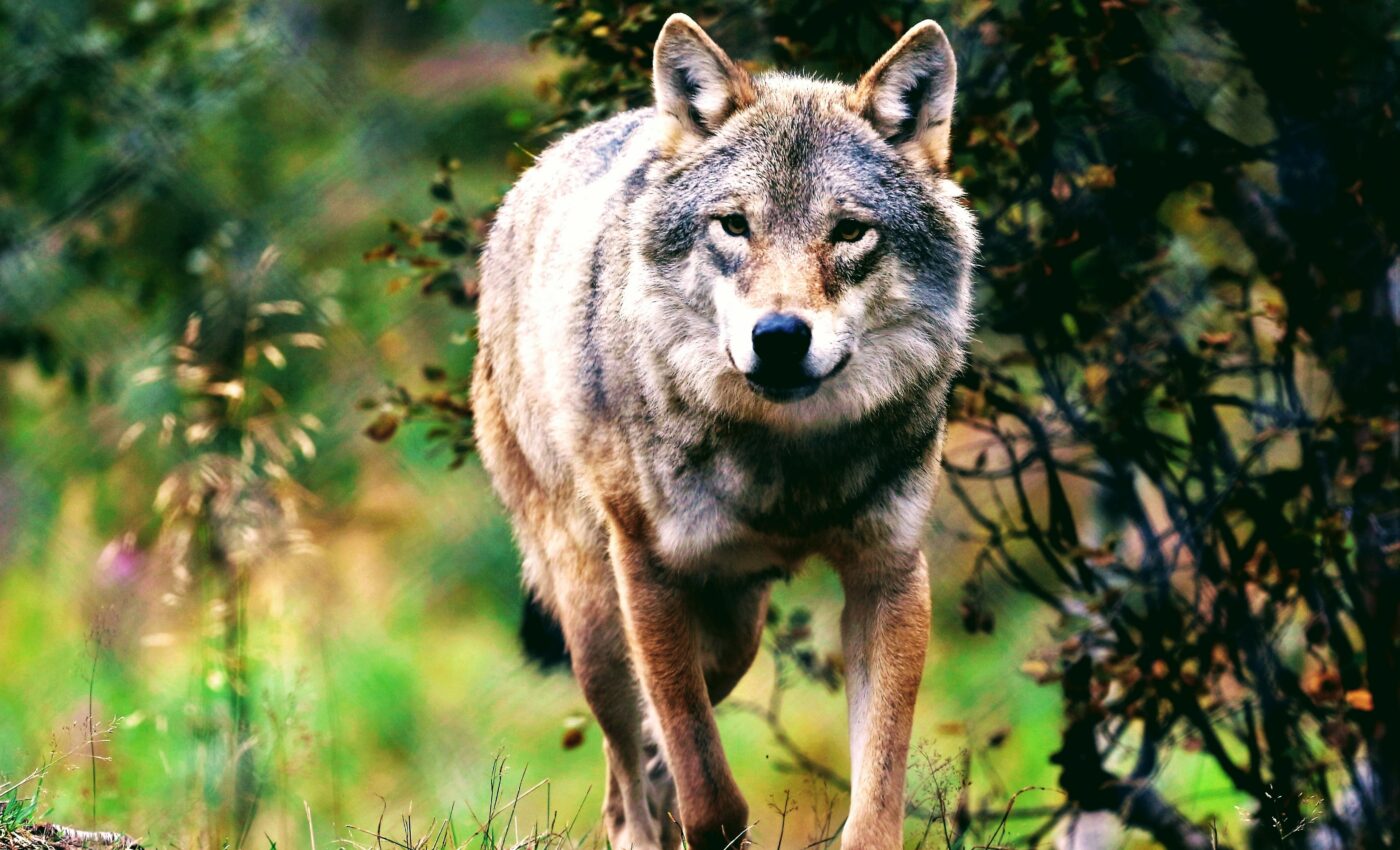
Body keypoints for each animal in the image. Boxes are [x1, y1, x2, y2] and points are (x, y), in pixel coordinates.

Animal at [472, 13, 976, 850]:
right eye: (734, 226)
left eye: (849, 233)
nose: (779, 337)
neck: (790, 461)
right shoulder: (648, 571)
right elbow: (708, 789)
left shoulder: (889, 573)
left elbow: (875, 801)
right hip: (598, 617)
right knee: (628, 781)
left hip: (736, 624)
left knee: (650, 752)